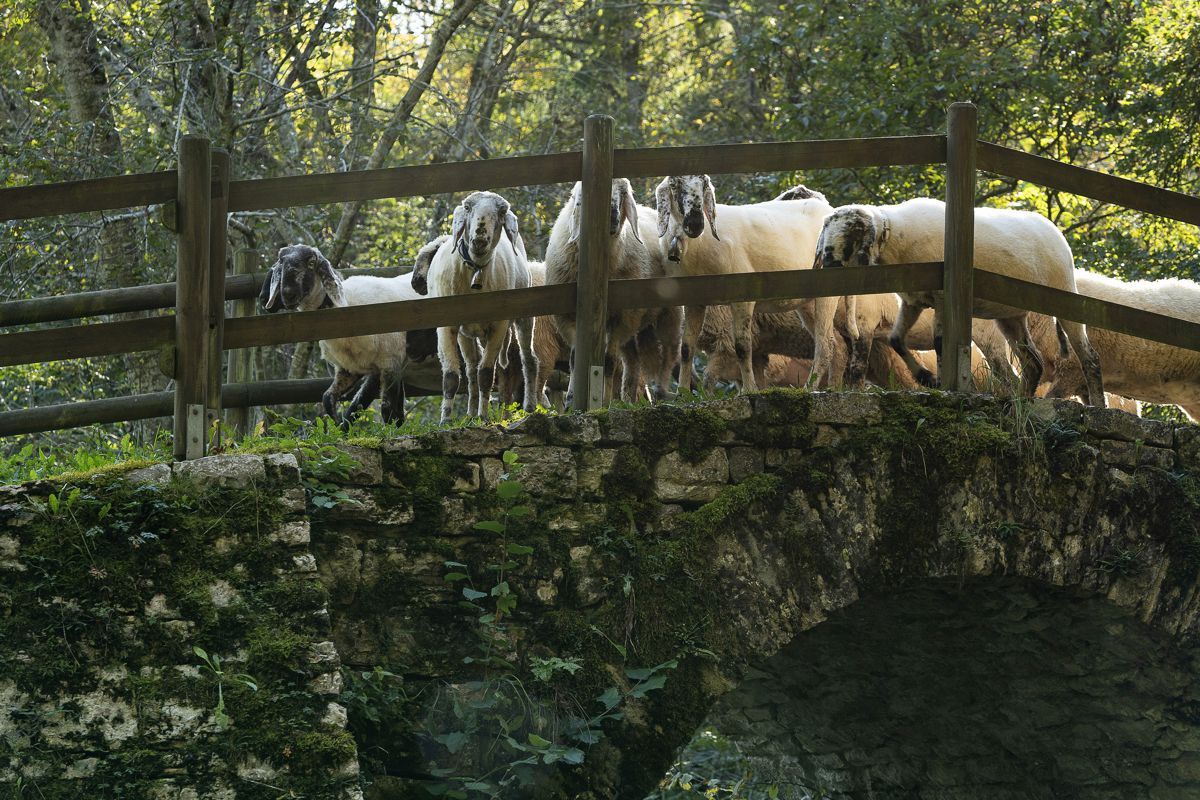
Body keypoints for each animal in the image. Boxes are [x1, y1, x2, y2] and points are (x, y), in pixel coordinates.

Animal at [260, 245, 439, 424]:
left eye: (311, 263)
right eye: (281, 262)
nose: (288, 294)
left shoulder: (391, 362)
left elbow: (387, 410)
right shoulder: (350, 368)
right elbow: (330, 398)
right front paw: (334, 423)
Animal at [422, 190, 535, 422]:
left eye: (501, 211)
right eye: (467, 208)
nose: (480, 238)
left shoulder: (499, 325)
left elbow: (486, 374)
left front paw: (484, 418)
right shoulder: (447, 325)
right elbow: (451, 376)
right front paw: (446, 420)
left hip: (523, 318)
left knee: (528, 360)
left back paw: (528, 407)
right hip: (467, 334)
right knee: (472, 368)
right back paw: (471, 413)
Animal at [652, 173, 830, 393]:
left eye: (704, 186)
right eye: (674, 184)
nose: (695, 224)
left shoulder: (742, 298)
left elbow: (743, 347)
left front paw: (750, 390)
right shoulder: (694, 301)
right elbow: (686, 348)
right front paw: (682, 393)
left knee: (825, 347)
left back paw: (809, 388)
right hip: (807, 302)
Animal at [806, 200, 1104, 407]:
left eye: (849, 233)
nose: (827, 265)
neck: (895, 238)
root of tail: (1056, 232)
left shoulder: (941, 299)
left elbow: (940, 343)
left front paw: (941, 383)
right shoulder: (913, 301)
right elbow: (896, 340)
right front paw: (927, 377)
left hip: (1065, 297)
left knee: (1089, 356)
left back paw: (1098, 404)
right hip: (1010, 315)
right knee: (1033, 363)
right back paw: (1021, 400)